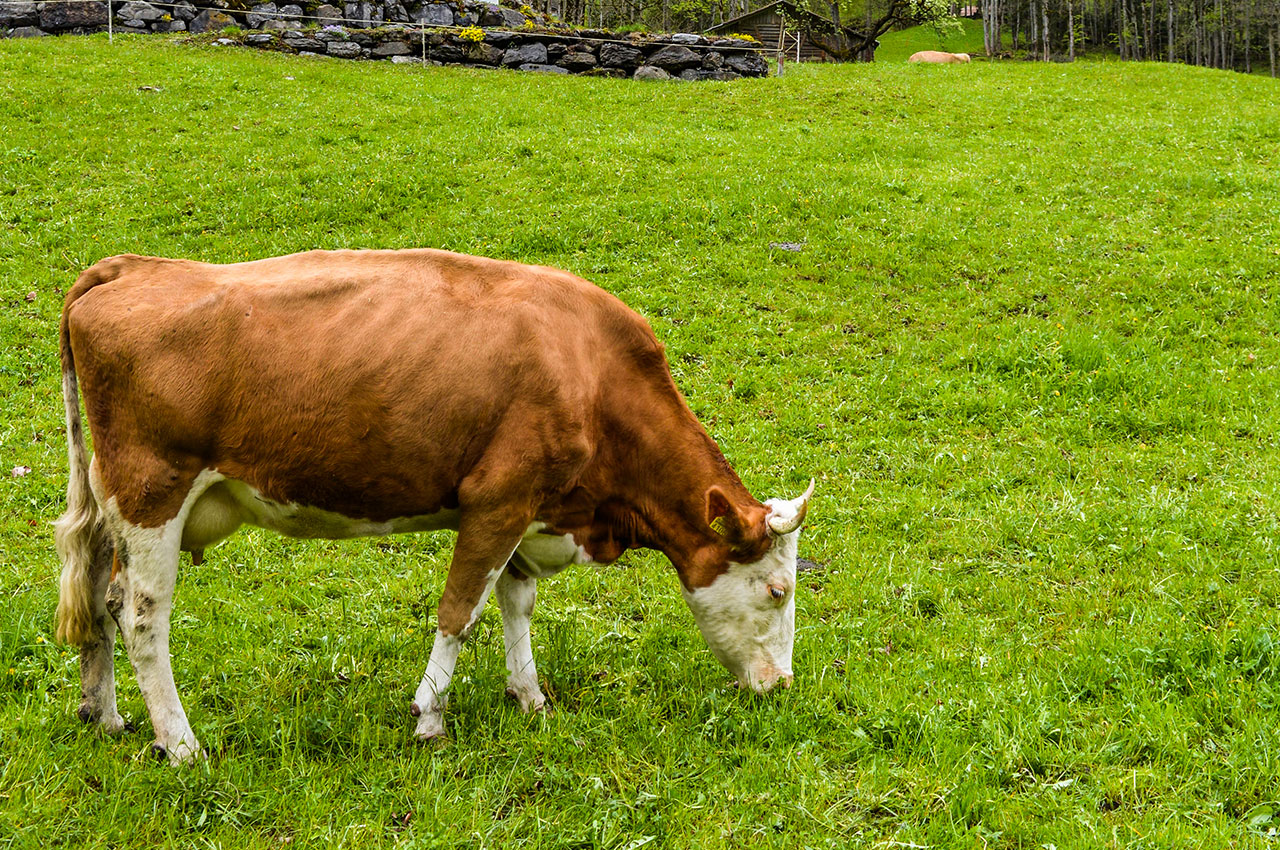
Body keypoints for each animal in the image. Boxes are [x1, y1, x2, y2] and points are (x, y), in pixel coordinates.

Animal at [55, 247, 814, 762]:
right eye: (777, 591)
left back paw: (106, 714)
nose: (782, 686)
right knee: (143, 620)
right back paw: (181, 744)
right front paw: (430, 717)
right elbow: (460, 610)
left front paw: (529, 697)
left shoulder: (529, 508)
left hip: (112, 500)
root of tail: (132, 267)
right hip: (153, 493)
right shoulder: (498, 499)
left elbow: (516, 603)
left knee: (100, 597)